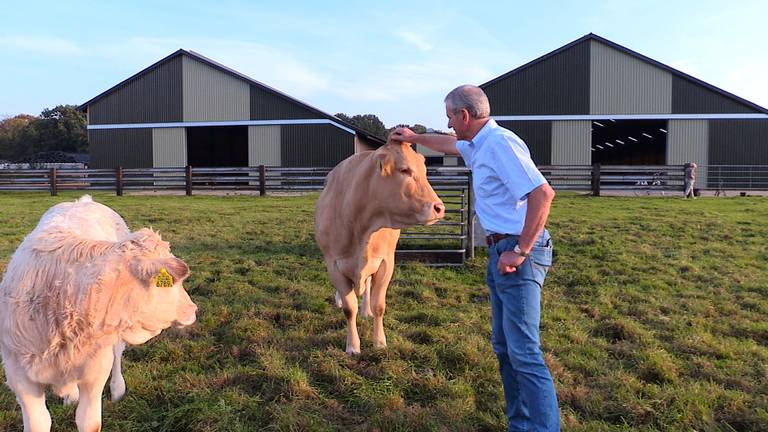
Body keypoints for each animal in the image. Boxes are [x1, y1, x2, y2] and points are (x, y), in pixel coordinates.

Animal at [0, 197, 198, 432]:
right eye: (172, 282)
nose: (194, 309)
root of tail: (83, 200)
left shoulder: (95, 369)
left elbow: (89, 421)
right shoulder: (18, 375)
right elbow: (38, 422)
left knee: (117, 354)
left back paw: (117, 388)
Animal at [314, 141, 444, 354]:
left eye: (424, 171)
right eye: (405, 170)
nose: (439, 208)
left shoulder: (385, 263)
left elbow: (379, 306)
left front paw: (380, 342)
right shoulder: (333, 264)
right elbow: (349, 308)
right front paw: (353, 346)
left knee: (366, 285)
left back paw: (366, 310)